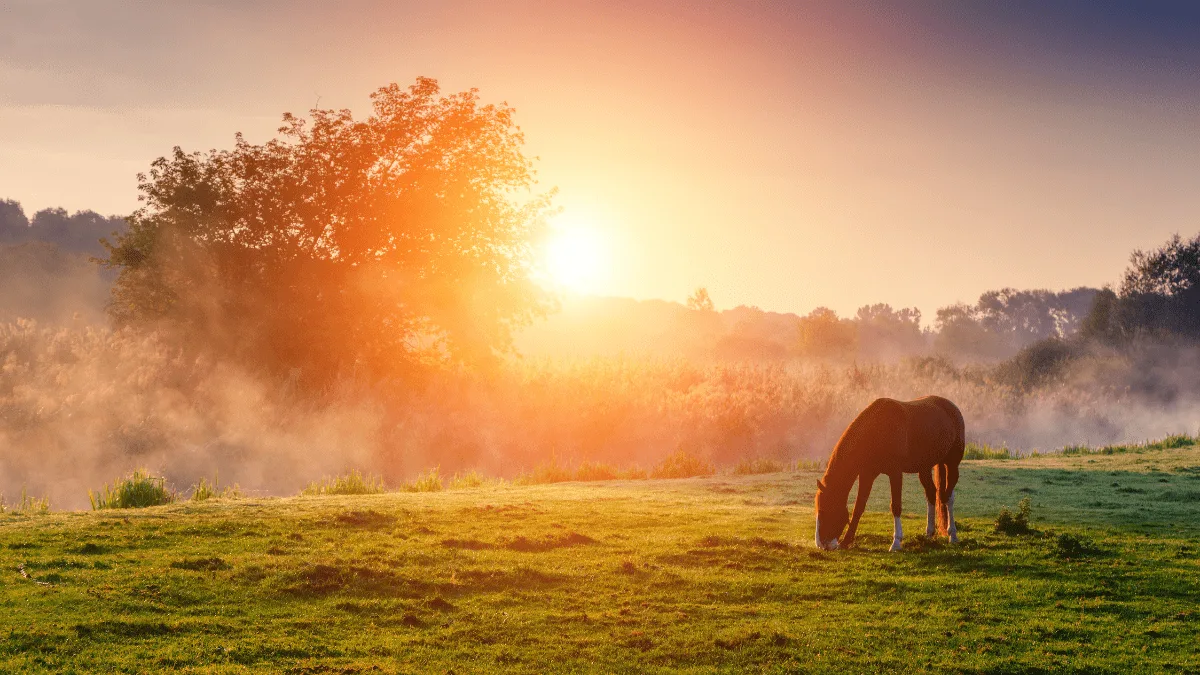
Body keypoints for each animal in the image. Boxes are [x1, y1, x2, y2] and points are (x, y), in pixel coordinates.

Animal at [814, 396, 964, 551]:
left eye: (824, 510)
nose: (821, 544)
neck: (878, 429)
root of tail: (950, 406)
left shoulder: (895, 472)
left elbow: (895, 506)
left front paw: (896, 542)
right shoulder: (867, 474)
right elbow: (858, 507)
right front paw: (846, 541)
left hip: (952, 464)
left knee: (948, 497)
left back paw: (952, 535)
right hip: (924, 468)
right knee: (931, 493)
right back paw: (929, 534)